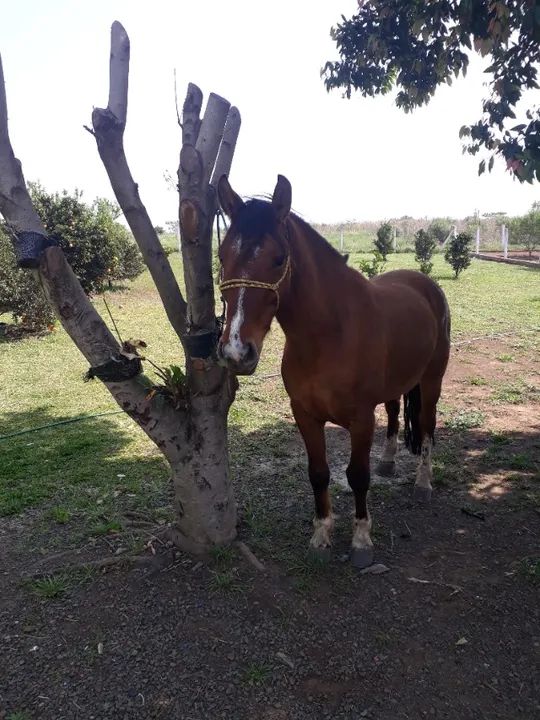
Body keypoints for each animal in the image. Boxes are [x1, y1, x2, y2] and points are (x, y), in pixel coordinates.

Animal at [216, 174, 451, 568]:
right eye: (221, 256)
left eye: (279, 258)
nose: (236, 352)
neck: (329, 335)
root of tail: (424, 283)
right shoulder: (305, 415)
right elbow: (318, 473)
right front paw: (321, 534)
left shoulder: (361, 419)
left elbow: (357, 476)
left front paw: (361, 542)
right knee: (394, 413)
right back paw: (388, 462)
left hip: (432, 381)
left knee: (427, 427)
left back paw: (423, 484)